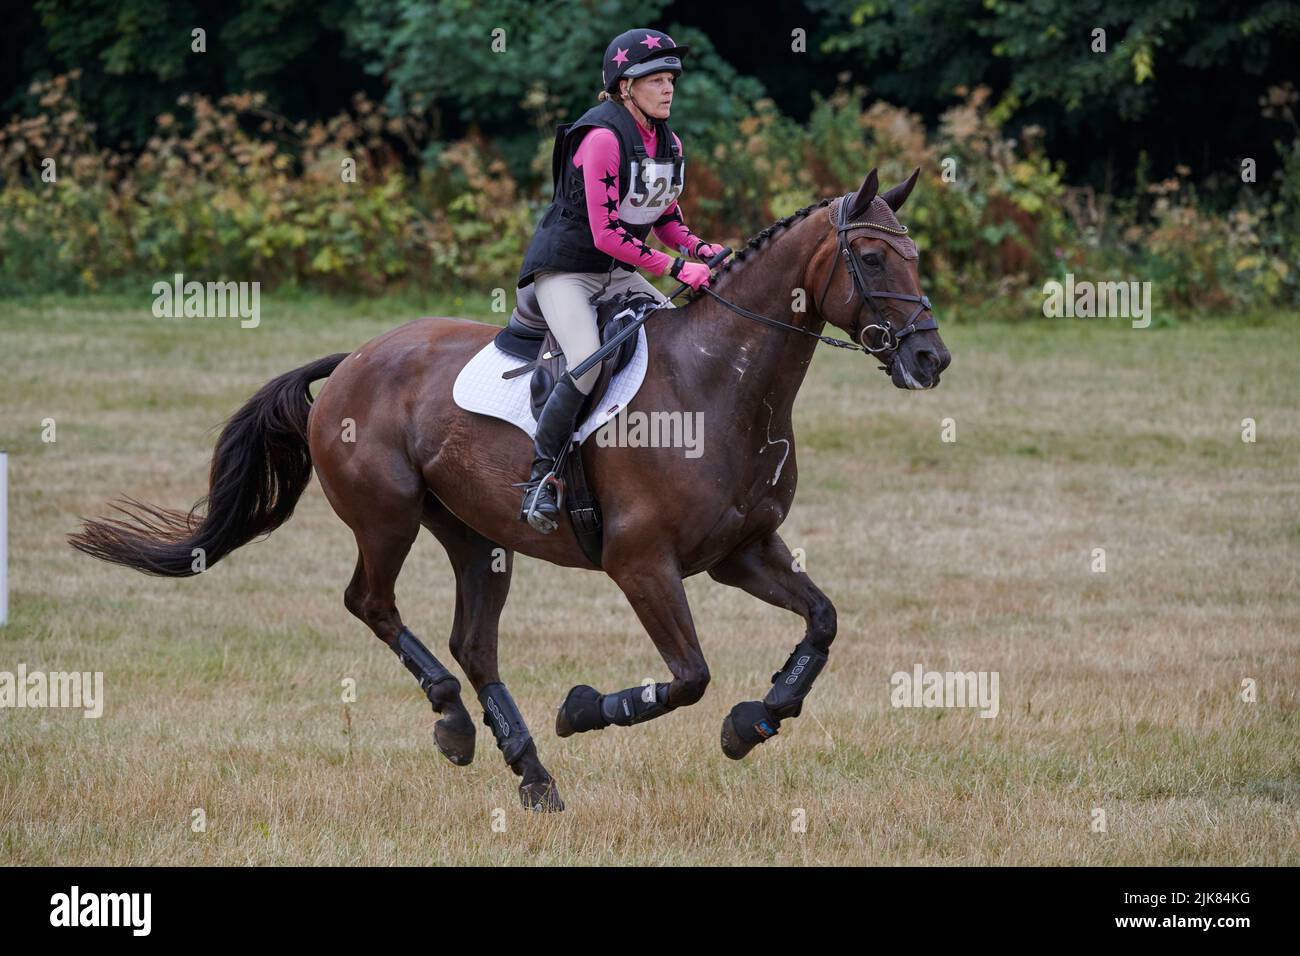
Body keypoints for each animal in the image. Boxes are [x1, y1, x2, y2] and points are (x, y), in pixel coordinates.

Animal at [71, 167, 956, 811]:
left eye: (913, 253)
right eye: (873, 258)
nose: (930, 359)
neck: (722, 383)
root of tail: (355, 358)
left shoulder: (742, 551)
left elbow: (822, 623)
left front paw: (755, 721)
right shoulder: (642, 563)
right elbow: (690, 676)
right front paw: (585, 709)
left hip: (475, 536)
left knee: (473, 642)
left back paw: (529, 771)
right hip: (388, 517)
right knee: (372, 604)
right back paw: (457, 725)